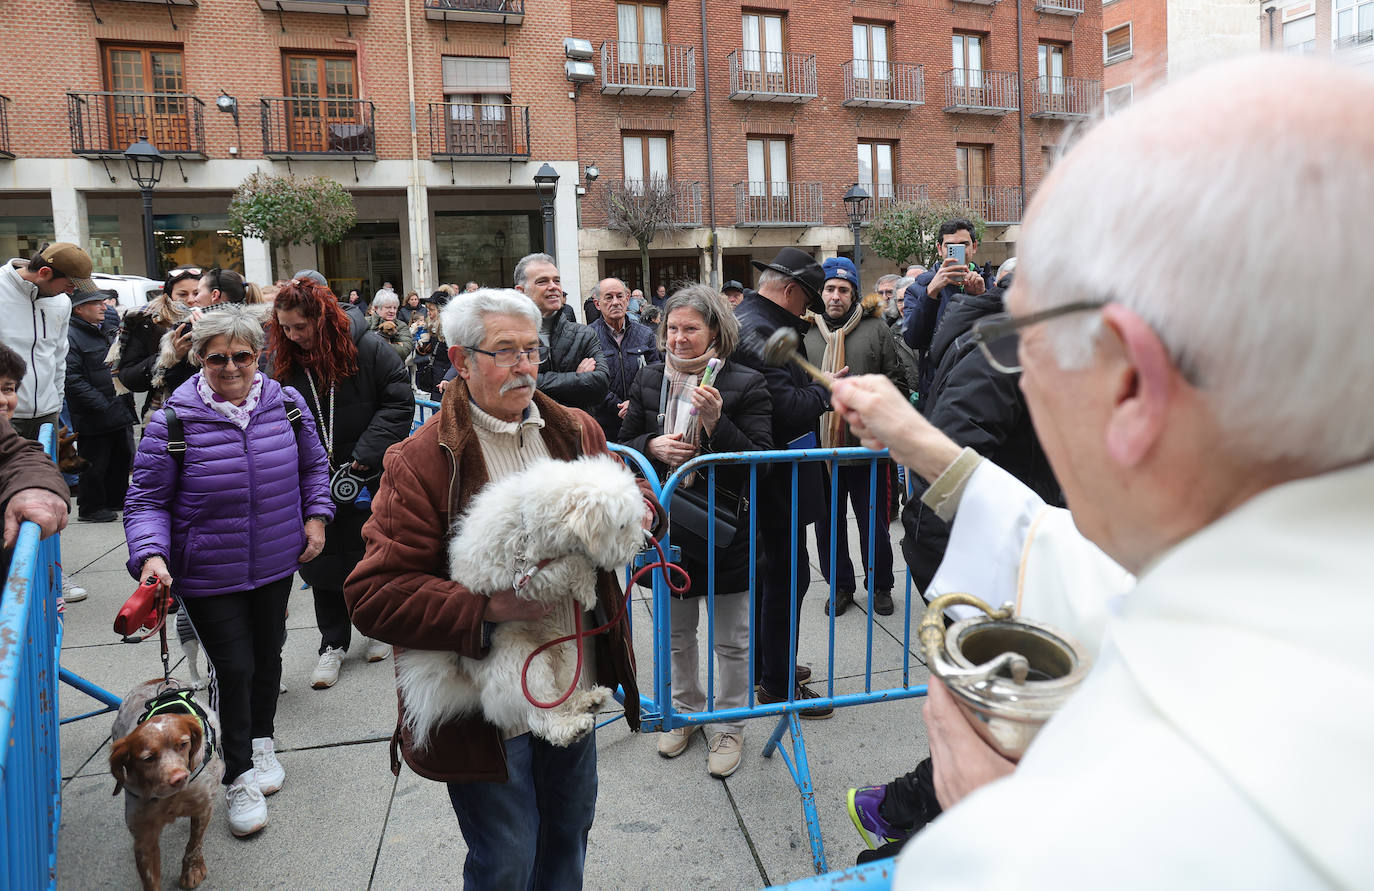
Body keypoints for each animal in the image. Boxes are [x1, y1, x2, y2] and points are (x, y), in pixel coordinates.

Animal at [109, 679, 222, 885]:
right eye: (147, 758)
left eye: (183, 744)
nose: (179, 777)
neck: (171, 798)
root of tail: (160, 681)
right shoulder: (144, 836)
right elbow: (151, 880)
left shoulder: (203, 806)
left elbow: (194, 843)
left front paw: (192, 869)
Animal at [395, 456, 645, 748]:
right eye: (622, 525)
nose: (640, 545)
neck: (531, 521)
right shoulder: (524, 579)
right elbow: (575, 562)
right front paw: (587, 591)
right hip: (525, 666)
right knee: (541, 717)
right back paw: (571, 728)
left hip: (564, 651)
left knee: (560, 696)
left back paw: (588, 700)